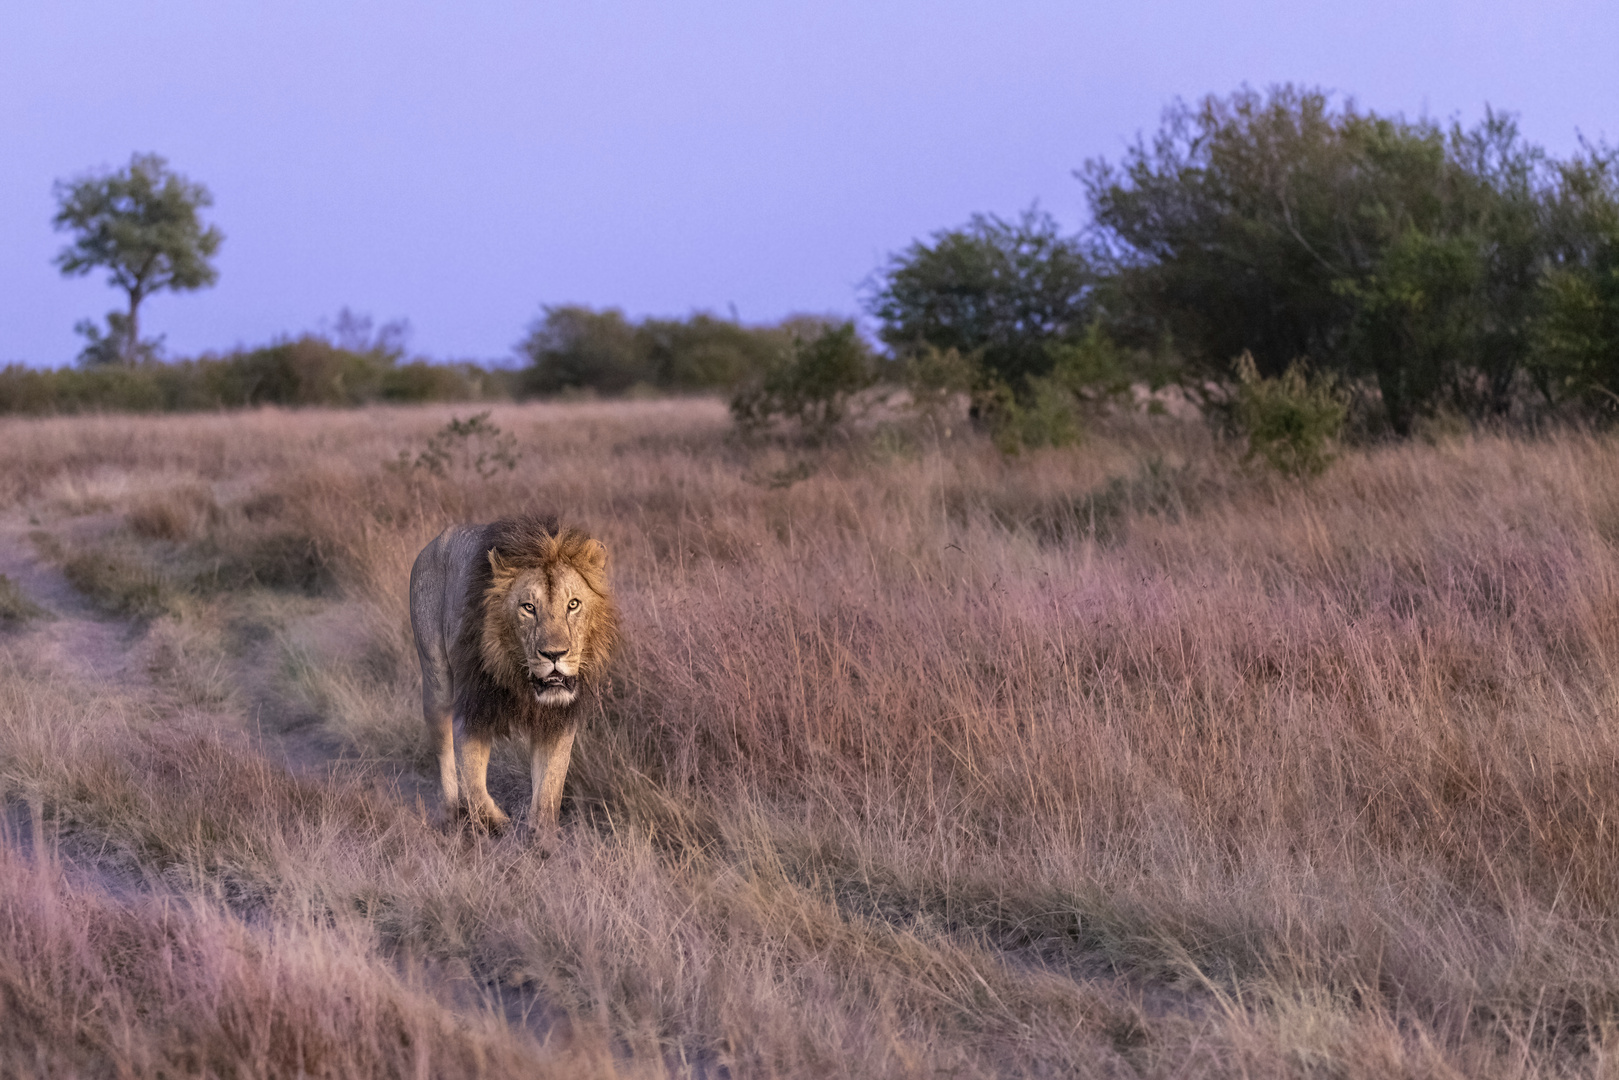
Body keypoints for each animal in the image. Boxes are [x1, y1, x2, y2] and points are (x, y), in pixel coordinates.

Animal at [411, 518, 618, 841]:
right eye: (528, 607)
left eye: (573, 604)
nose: (554, 654)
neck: (520, 679)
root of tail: (433, 543)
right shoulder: (473, 709)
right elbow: (473, 780)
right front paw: (496, 822)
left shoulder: (558, 721)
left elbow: (550, 790)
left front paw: (543, 840)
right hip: (436, 681)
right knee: (442, 747)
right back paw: (452, 812)